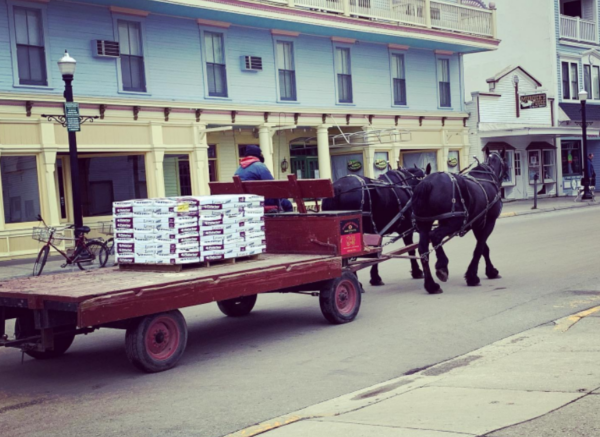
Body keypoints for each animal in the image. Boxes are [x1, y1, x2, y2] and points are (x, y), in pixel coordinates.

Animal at [414, 152, 508, 294]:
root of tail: (427, 182)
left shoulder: (477, 224)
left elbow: (484, 248)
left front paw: (490, 271)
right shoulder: (489, 223)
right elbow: (479, 248)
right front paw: (472, 277)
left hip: (425, 223)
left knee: (423, 249)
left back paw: (431, 285)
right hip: (453, 222)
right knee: (435, 236)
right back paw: (442, 265)